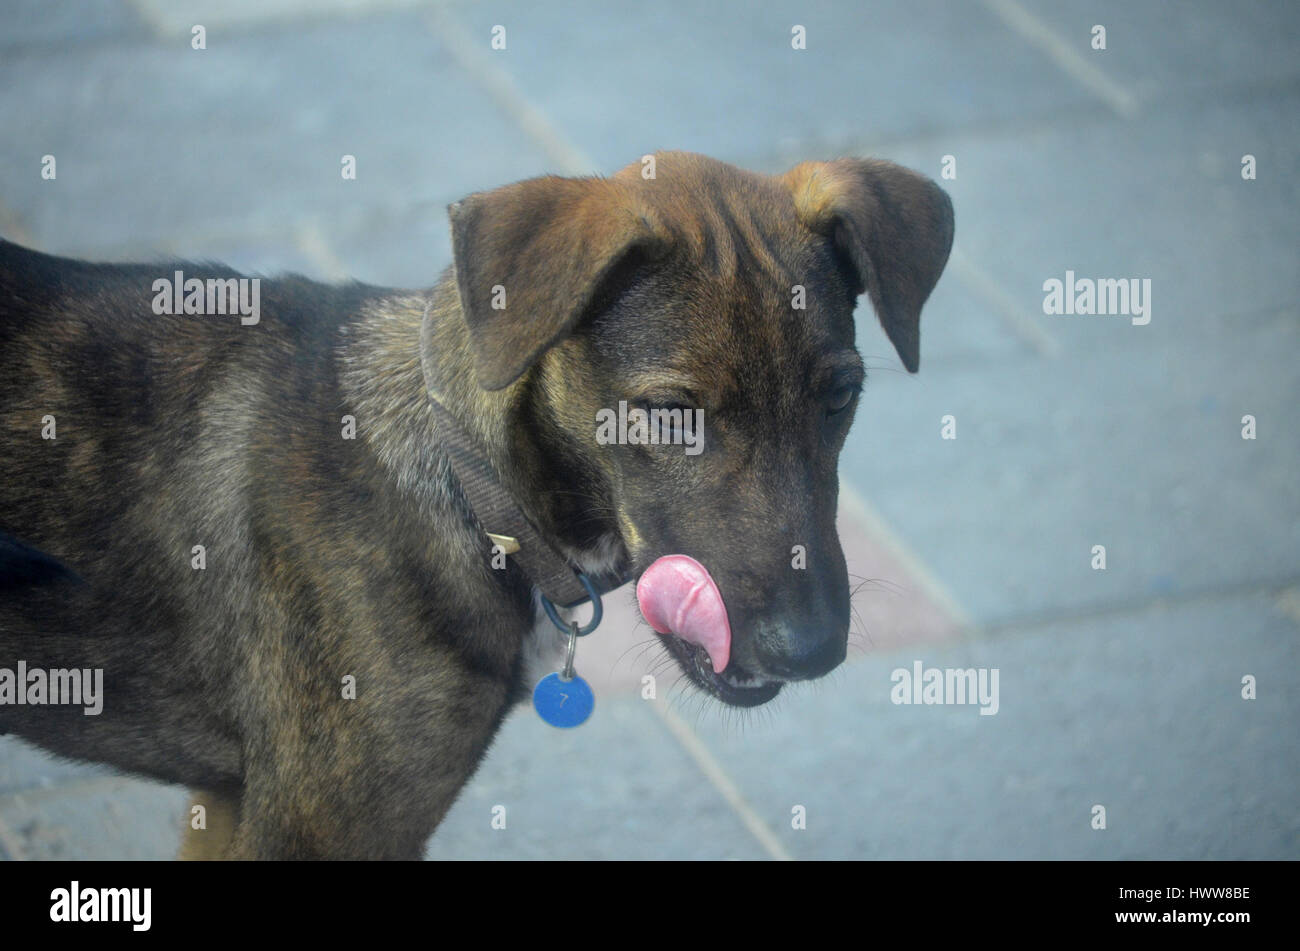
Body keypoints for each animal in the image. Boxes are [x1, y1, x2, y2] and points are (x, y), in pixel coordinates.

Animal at [0, 152, 956, 857]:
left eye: (841, 396)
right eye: (670, 413)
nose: (811, 650)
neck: (474, 498)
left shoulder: (231, 801)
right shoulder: (313, 830)